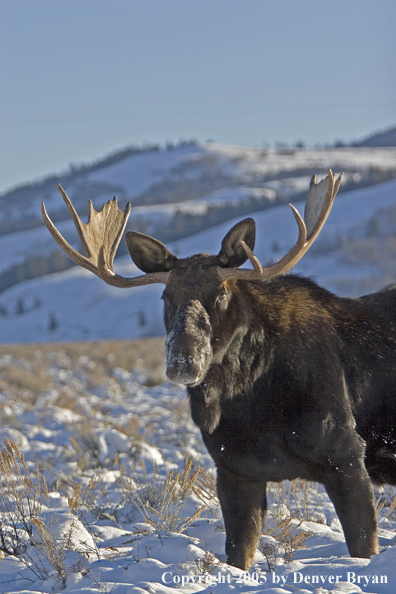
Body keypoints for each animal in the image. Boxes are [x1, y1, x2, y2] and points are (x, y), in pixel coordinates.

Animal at [41, 169, 396, 568]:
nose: (183, 360)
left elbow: (364, 547)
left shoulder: (347, 455)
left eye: (222, 292)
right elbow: (238, 554)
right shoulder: (234, 470)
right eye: (166, 296)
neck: (253, 405)